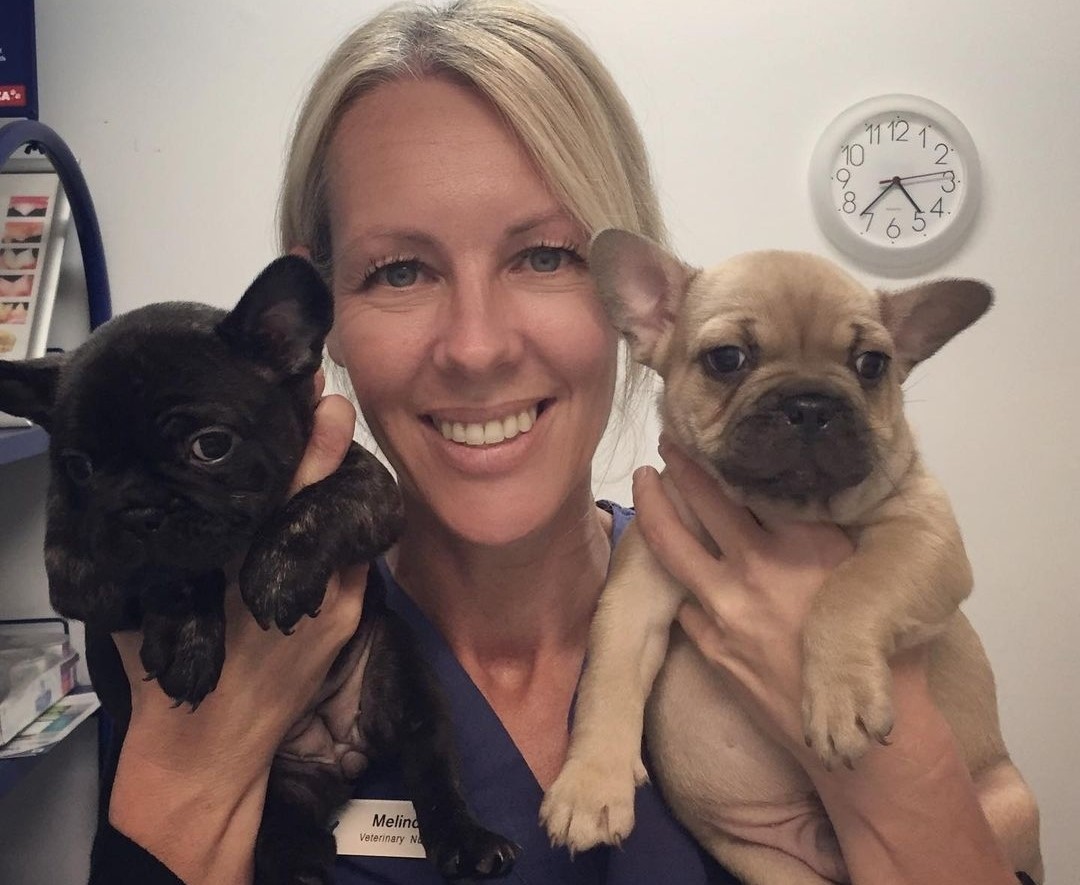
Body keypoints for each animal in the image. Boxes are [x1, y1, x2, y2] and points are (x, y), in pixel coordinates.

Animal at [0, 253, 516, 877]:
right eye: (79, 466)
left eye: (211, 445)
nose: (140, 508)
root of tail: (336, 754)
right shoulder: (79, 573)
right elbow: (174, 570)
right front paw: (189, 635)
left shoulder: (372, 488)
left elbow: (321, 501)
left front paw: (277, 574)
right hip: (276, 788)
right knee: (279, 826)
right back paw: (301, 862)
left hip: (403, 681)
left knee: (431, 760)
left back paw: (467, 840)